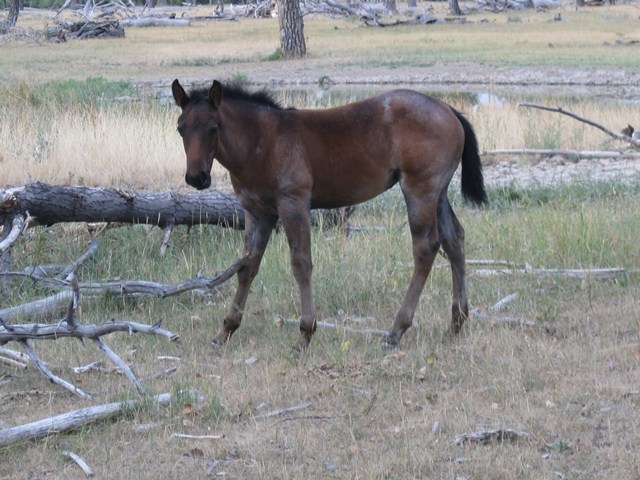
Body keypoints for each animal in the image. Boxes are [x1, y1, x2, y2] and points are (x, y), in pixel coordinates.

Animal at [171, 79, 487, 352]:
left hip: (420, 189)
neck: (262, 142)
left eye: (213, 128)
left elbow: (301, 264)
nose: (196, 177)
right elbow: (246, 267)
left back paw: (396, 330)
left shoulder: (293, 204)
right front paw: (226, 330)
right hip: (439, 192)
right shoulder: (257, 212)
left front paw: (305, 333)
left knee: (425, 247)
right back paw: (457, 320)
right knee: (454, 239)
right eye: (180, 128)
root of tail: (448, 110)